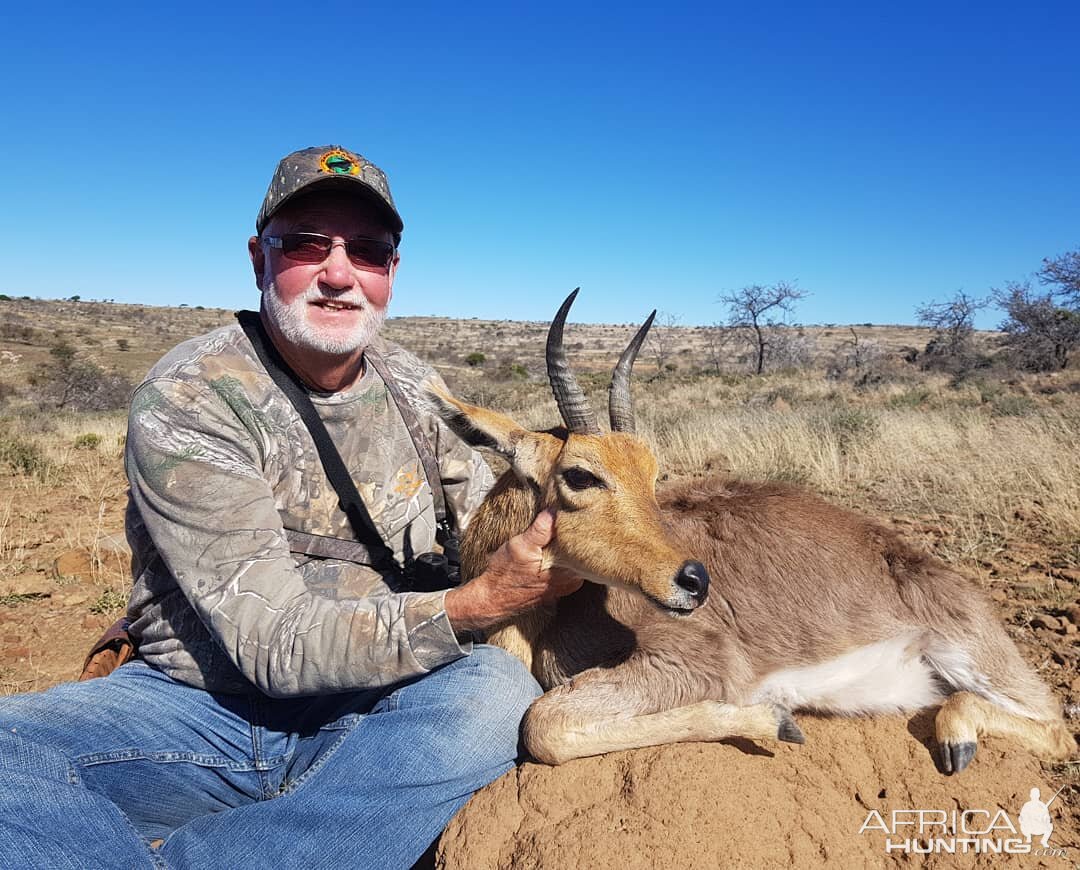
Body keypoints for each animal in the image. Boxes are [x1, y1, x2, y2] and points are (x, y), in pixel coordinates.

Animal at [425, 291, 1075, 768]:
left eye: (653, 472)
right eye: (582, 475)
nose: (693, 581)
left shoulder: (699, 664)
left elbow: (543, 724)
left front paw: (774, 721)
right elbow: (546, 721)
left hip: (973, 659)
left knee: (1055, 728)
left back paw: (957, 739)